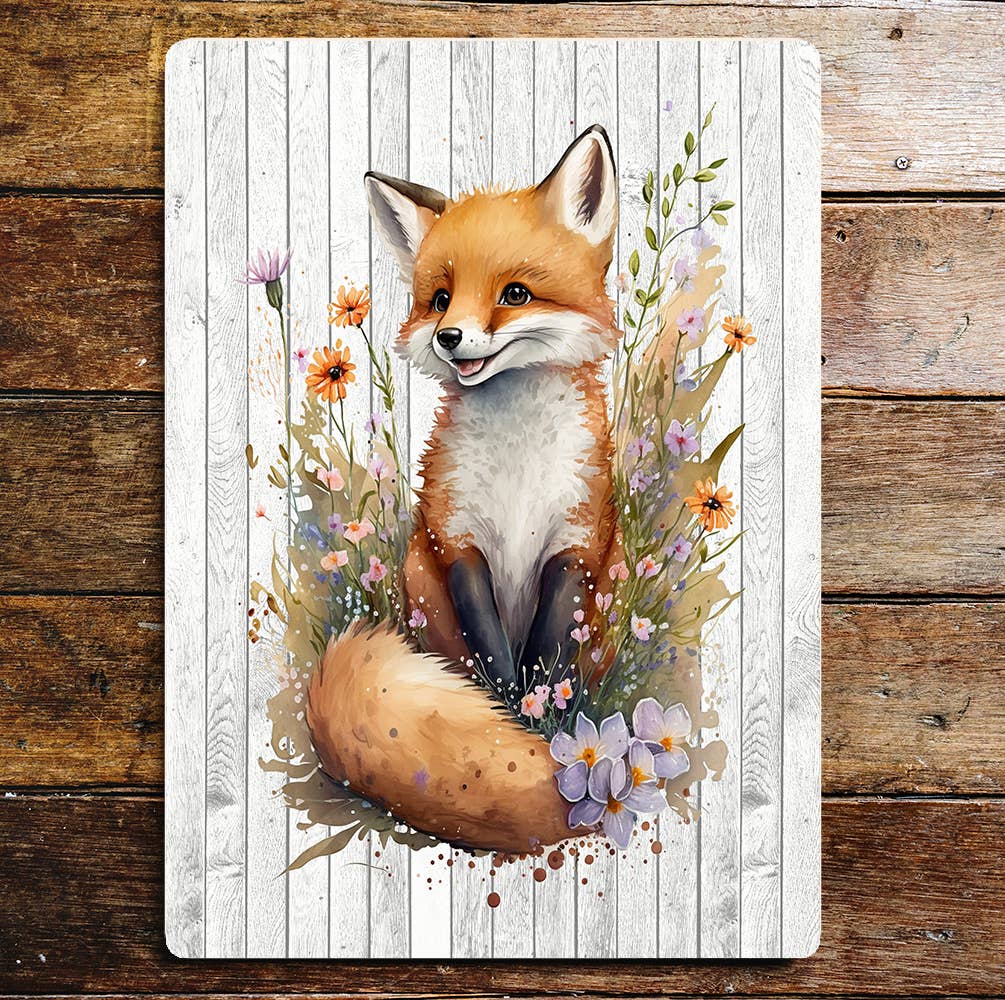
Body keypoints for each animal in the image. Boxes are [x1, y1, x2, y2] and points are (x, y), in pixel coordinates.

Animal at [307, 126, 623, 854]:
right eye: (441, 299)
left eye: (515, 294)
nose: (451, 337)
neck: (517, 463)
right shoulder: (457, 540)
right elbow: (492, 654)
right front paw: (513, 719)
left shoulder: (575, 541)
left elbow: (547, 655)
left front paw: (545, 727)